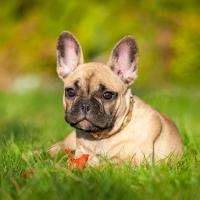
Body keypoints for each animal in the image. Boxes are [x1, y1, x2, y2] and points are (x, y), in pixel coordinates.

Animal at [48, 31, 183, 166]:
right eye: (70, 92)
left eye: (107, 95)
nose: (85, 105)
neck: (101, 137)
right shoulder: (80, 151)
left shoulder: (137, 160)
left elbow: (109, 162)